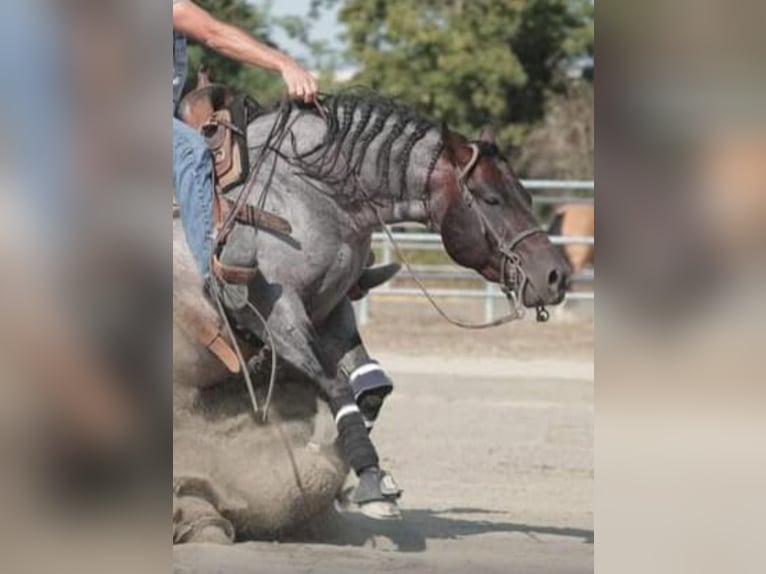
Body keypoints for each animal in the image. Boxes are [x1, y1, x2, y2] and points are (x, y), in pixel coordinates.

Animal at [182, 90, 570, 520]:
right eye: (492, 198)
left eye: (528, 195)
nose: (556, 276)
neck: (310, 194)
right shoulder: (275, 316)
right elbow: (335, 384)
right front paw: (361, 480)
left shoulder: (331, 311)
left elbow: (370, 388)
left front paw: (352, 471)